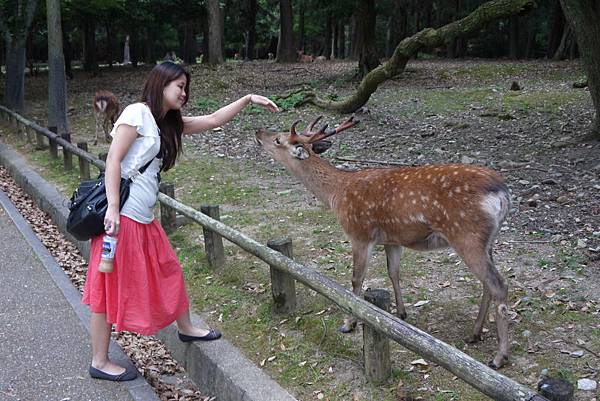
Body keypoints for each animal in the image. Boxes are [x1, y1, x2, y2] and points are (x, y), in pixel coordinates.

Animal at [255, 115, 512, 368]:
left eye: (278, 139)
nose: (258, 132)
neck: (336, 194)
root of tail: (502, 193)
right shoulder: (392, 239)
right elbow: (393, 272)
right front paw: (400, 314)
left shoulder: (359, 233)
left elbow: (356, 279)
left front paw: (349, 323)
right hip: (487, 241)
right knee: (488, 283)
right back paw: (475, 334)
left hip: (466, 235)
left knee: (498, 284)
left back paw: (499, 357)